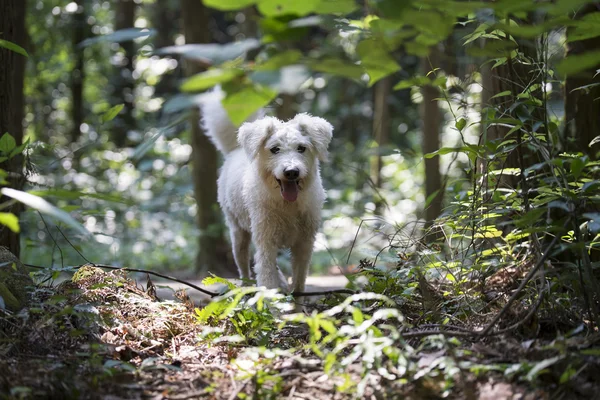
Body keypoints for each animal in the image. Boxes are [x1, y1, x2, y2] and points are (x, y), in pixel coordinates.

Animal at [200, 89, 332, 292]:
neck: (287, 204)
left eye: (301, 148)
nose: (291, 172)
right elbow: (267, 277)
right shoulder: (266, 240)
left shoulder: (304, 243)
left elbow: (299, 282)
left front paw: (295, 300)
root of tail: (236, 149)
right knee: (244, 266)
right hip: (238, 232)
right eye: (275, 149)